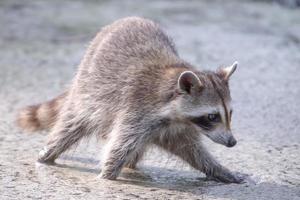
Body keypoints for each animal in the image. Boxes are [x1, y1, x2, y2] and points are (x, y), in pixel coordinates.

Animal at [17, 16, 244, 183]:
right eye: (213, 116)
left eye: (230, 113)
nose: (232, 142)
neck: (174, 113)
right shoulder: (136, 109)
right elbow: (119, 146)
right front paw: (106, 176)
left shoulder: (176, 128)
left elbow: (193, 151)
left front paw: (216, 168)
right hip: (87, 90)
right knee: (71, 126)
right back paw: (48, 154)